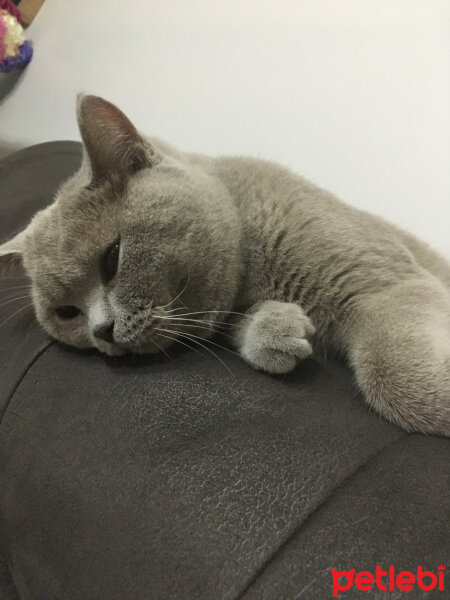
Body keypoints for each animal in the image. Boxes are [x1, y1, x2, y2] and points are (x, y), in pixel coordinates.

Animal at [0, 95, 450, 436]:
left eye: (112, 259)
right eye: (67, 313)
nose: (102, 332)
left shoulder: (382, 283)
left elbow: (391, 374)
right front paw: (276, 331)